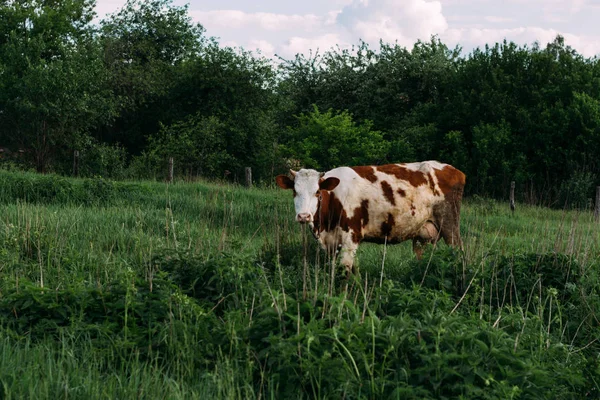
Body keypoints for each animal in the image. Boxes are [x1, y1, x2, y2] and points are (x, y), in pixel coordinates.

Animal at [274, 161, 466, 276]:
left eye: (317, 192)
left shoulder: (350, 237)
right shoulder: (331, 244)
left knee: (459, 252)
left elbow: (345, 273)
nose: (303, 216)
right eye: (294, 191)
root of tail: (453, 170)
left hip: (450, 224)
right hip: (421, 234)